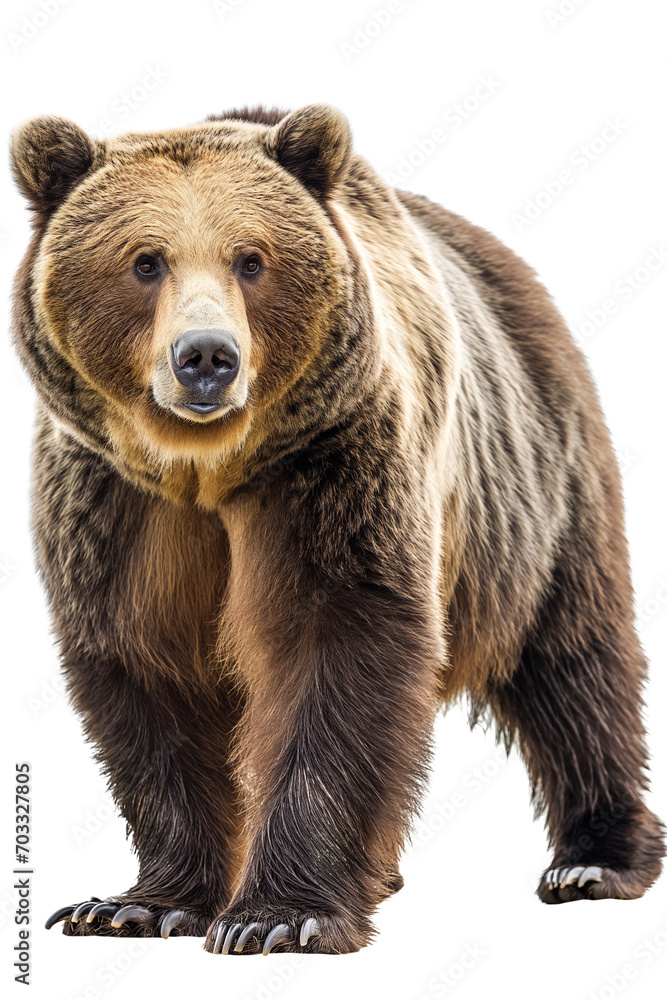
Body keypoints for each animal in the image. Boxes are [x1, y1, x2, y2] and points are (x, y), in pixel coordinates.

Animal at [10, 103, 664, 956]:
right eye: (145, 260)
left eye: (251, 259)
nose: (206, 358)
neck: (206, 470)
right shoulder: (116, 504)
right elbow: (146, 667)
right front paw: (135, 906)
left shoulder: (333, 464)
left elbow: (337, 646)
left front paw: (278, 916)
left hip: (534, 485)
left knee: (572, 658)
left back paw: (594, 859)